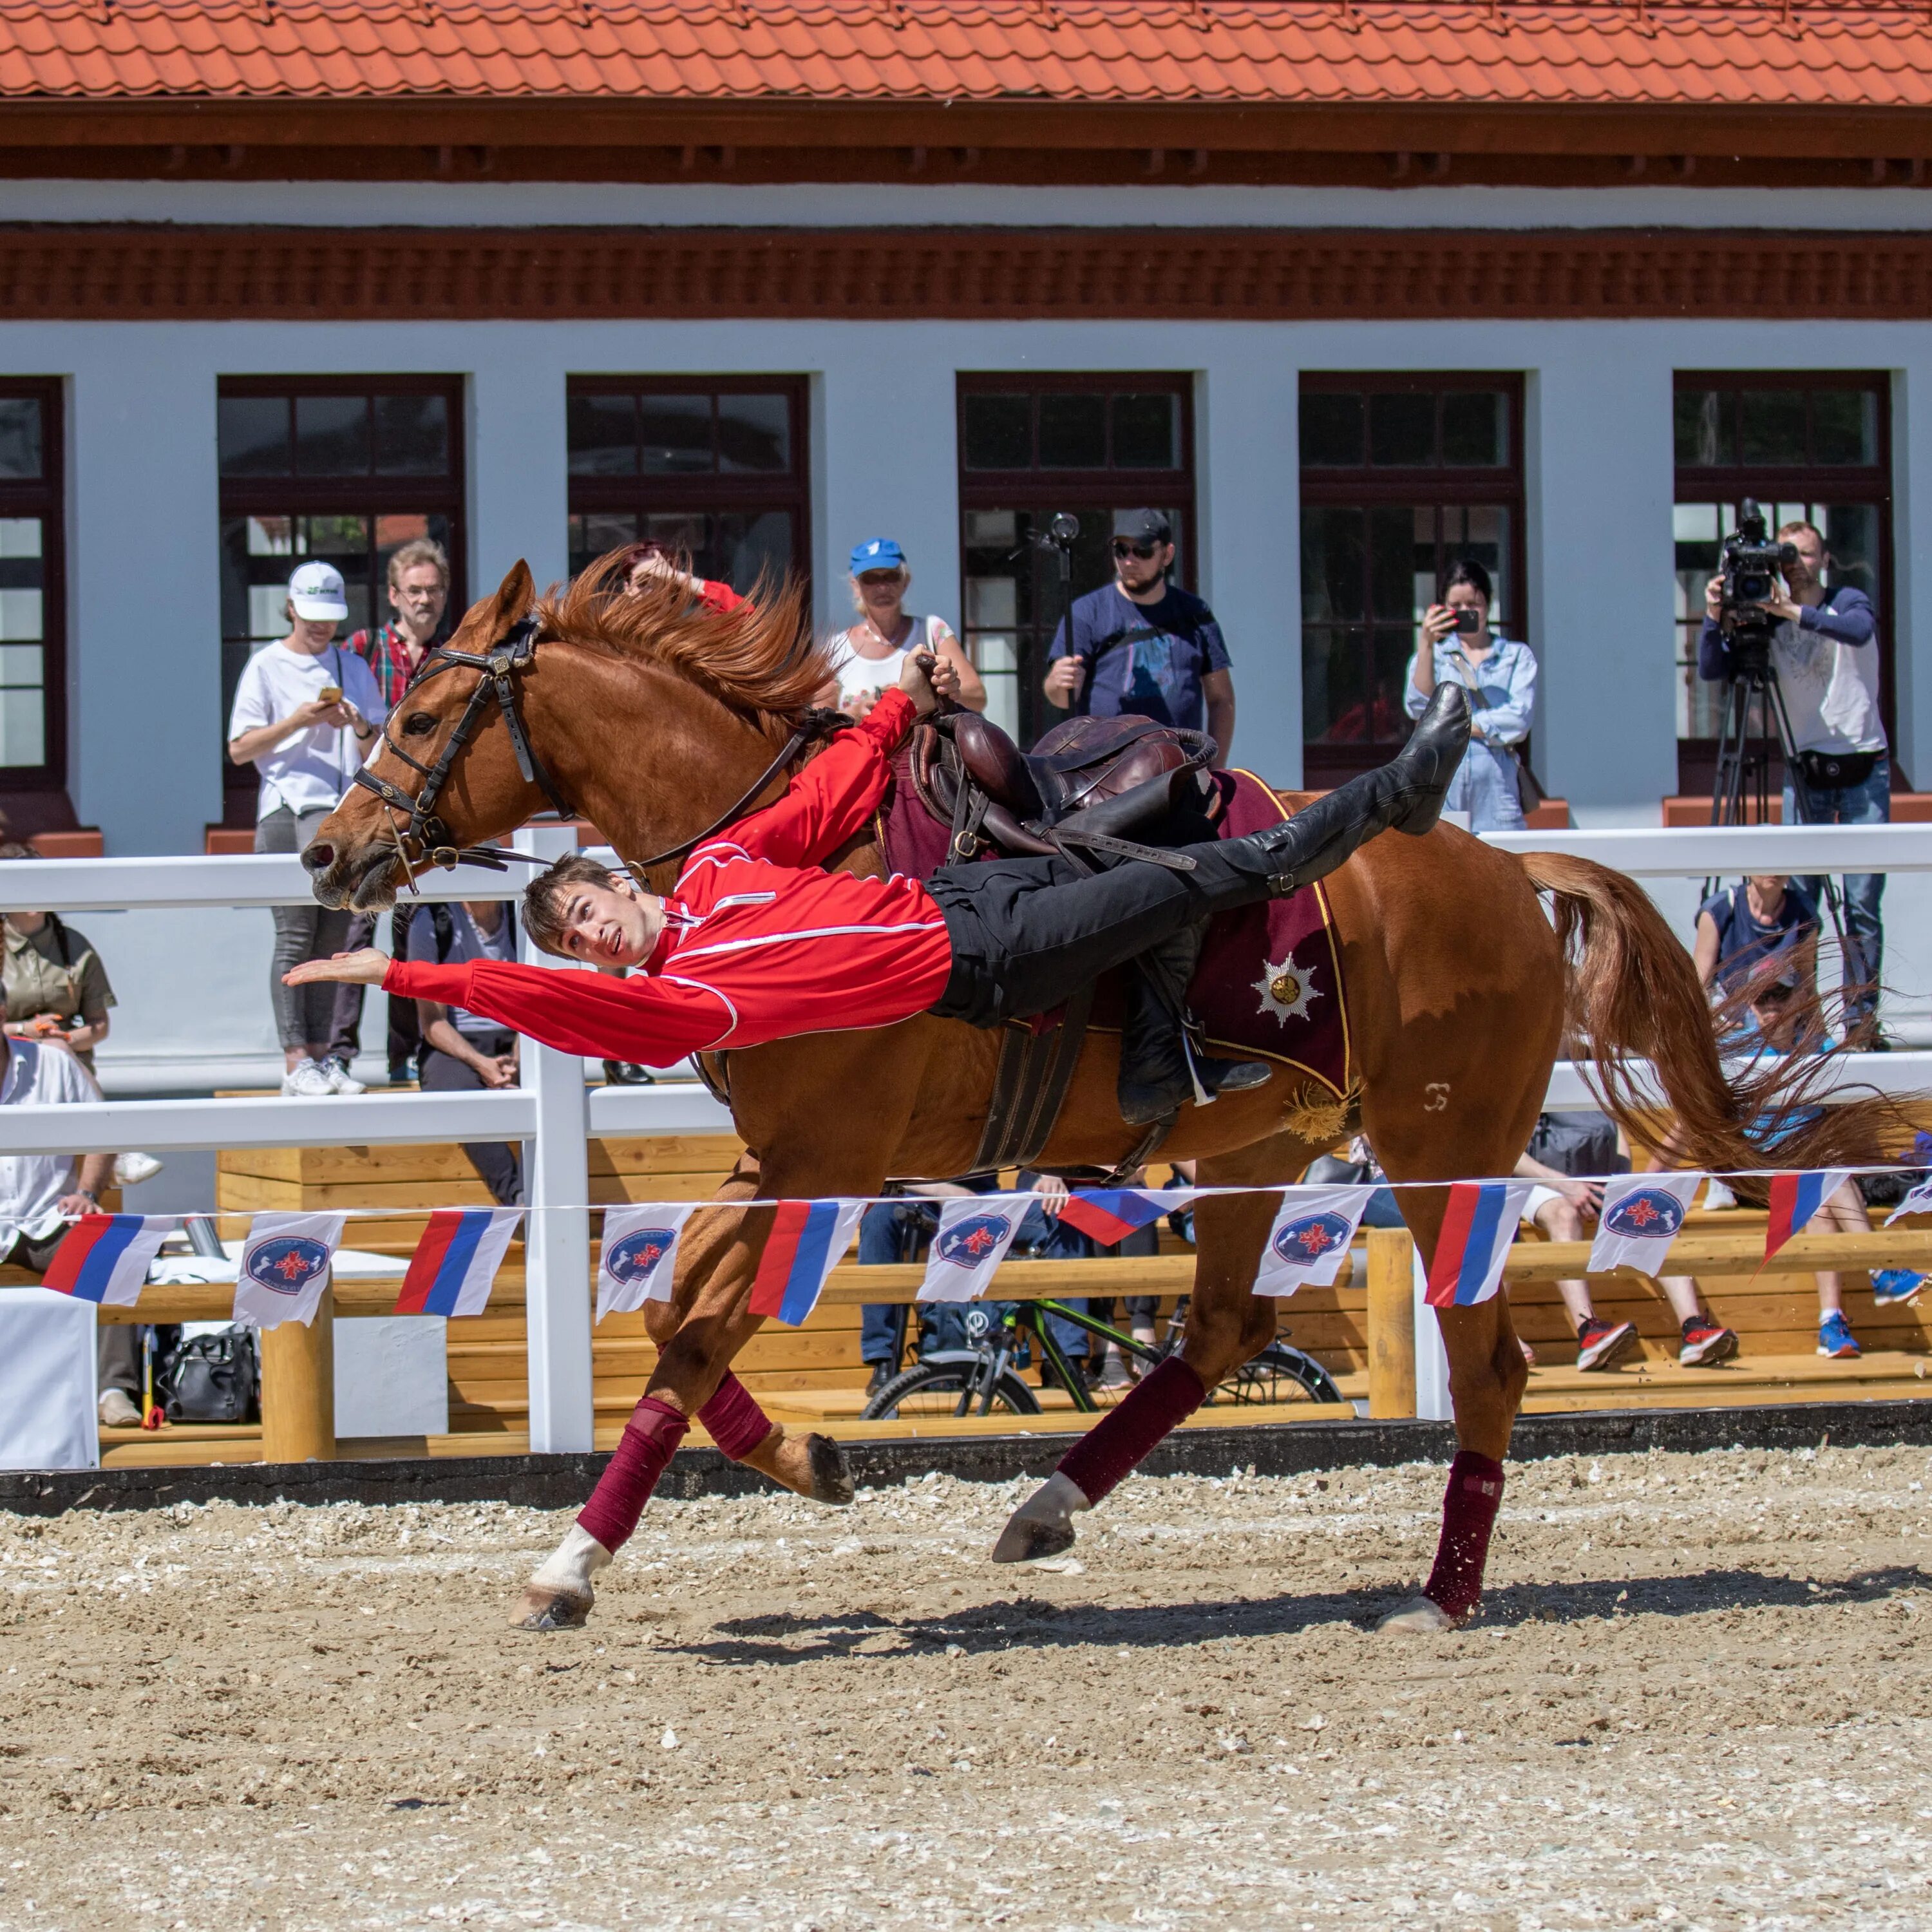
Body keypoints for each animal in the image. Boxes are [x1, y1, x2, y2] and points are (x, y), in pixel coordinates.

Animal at [309, 560, 1893, 1631]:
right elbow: (676, 1318)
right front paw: (814, 1457)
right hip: (1259, 1147)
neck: (787, 840)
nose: (330, 853)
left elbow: (695, 1330)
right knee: (1226, 1326)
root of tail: (1511, 871)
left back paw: (1439, 1594)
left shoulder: (824, 1156)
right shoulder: (781, 1155)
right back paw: (1046, 1504)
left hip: (1441, 1149)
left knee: (1486, 1364)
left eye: (433, 708)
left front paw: (574, 1560)